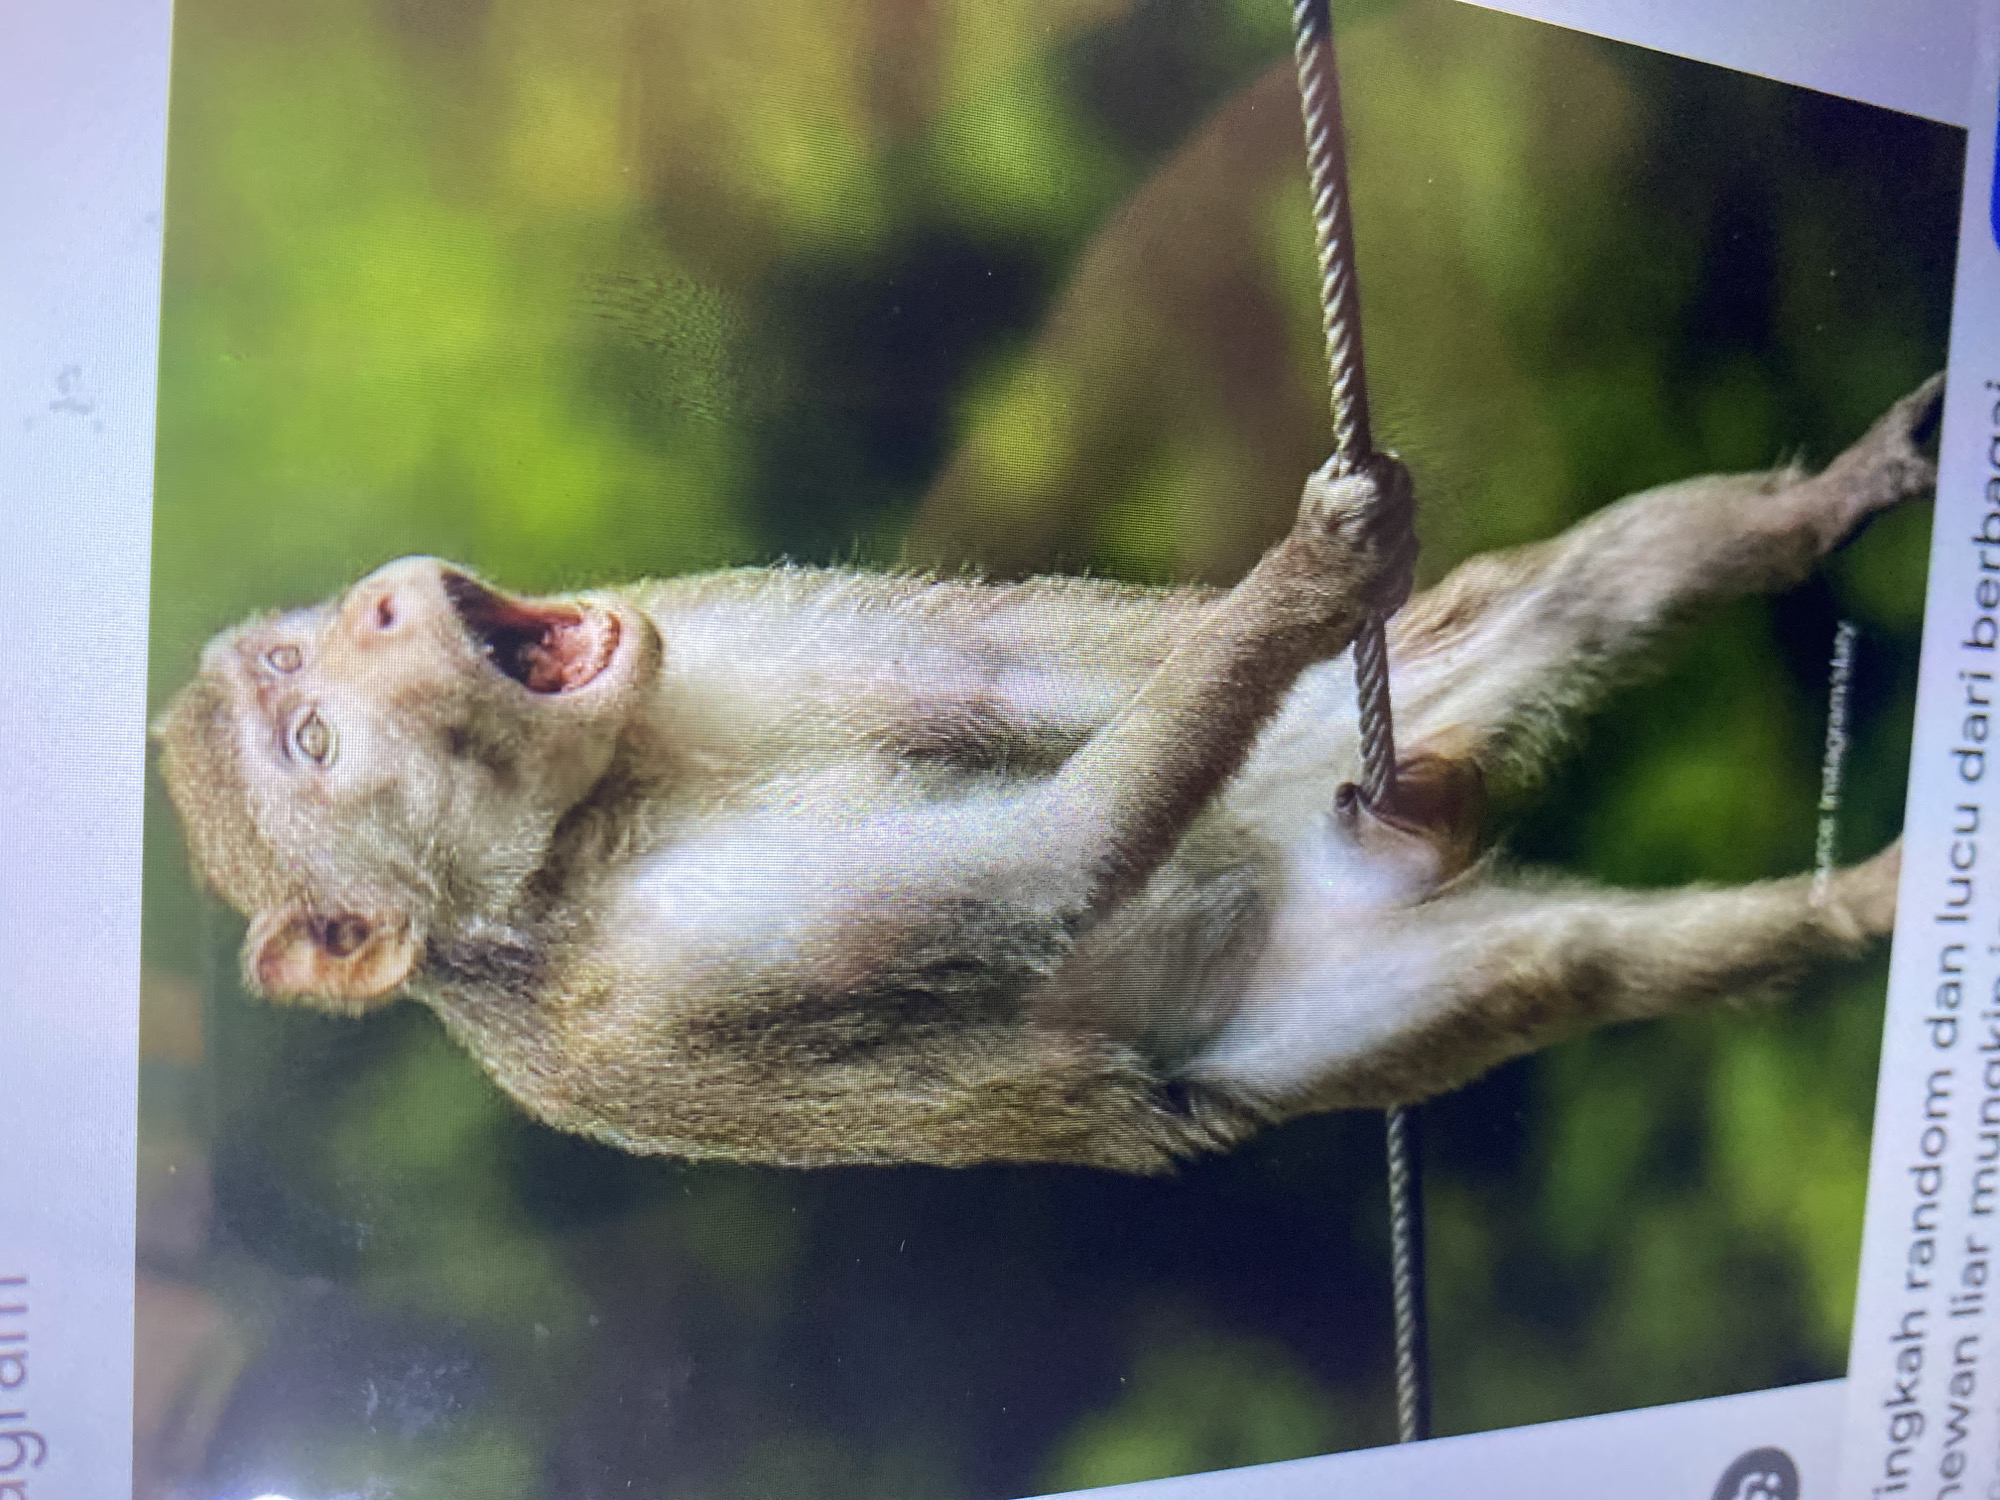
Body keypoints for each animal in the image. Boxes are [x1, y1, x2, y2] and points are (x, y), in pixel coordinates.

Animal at [153, 376, 1940, 1173]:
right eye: (311, 744)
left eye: (306, 662)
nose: (387, 606)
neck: (597, 810)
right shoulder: (666, 970)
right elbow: (1042, 872)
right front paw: (1312, 573)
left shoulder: (710, 628)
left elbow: (1013, 677)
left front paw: (1319, 575)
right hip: (1317, 998)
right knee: (1559, 965)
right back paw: (1854, 907)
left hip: (1299, 777)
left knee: (1541, 621)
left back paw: (1832, 516)